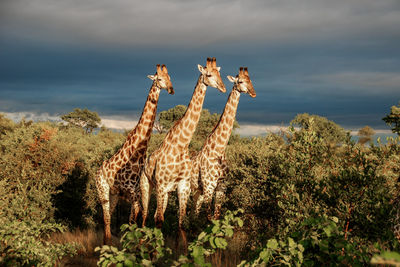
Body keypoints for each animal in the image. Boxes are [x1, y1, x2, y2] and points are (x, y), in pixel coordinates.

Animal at [96, 64, 173, 245]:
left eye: (170, 78)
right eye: (159, 79)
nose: (171, 89)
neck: (140, 151)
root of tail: (97, 170)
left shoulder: (137, 194)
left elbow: (136, 220)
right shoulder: (133, 193)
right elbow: (131, 222)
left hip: (114, 194)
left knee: (109, 218)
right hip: (102, 190)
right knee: (106, 218)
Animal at [141, 57, 225, 229]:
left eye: (219, 74)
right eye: (209, 74)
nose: (223, 87)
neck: (180, 145)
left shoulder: (183, 185)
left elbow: (181, 220)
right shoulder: (161, 185)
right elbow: (160, 220)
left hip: (166, 192)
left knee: (155, 214)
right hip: (147, 185)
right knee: (145, 214)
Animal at [191, 68, 256, 221]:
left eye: (250, 80)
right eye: (240, 81)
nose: (253, 93)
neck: (219, 149)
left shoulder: (222, 187)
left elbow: (216, 216)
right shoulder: (209, 186)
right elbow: (209, 218)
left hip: (198, 191)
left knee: (194, 210)